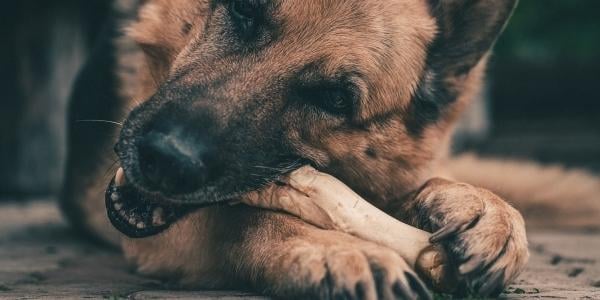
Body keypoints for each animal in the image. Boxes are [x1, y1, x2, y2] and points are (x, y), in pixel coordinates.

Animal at [61, 0, 600, 298]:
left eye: (334, 98)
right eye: (243, 9)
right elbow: (239, 218)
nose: (166, 158)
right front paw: (333, 247)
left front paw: (485, 209)